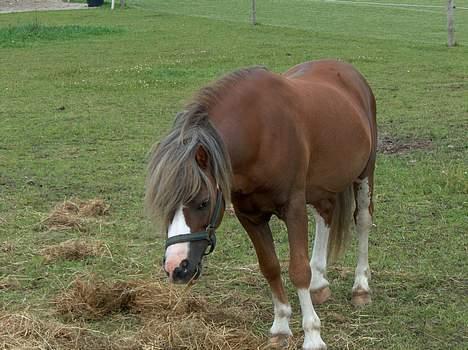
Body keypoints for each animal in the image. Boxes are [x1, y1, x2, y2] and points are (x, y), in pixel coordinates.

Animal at [146, 58, 376, 348]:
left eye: (203, 202)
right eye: (164, 205)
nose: (176, 267)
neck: (259, 134)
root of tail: (345, 69)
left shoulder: (293, 208)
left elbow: (297, 270)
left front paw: (313, 335)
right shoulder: (250, 216)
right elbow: (270, 266)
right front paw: (281, 326)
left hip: (365, 172)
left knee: (362, 221)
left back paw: (361, 287)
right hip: (322, 184)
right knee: (325, 214)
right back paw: (319, 284)